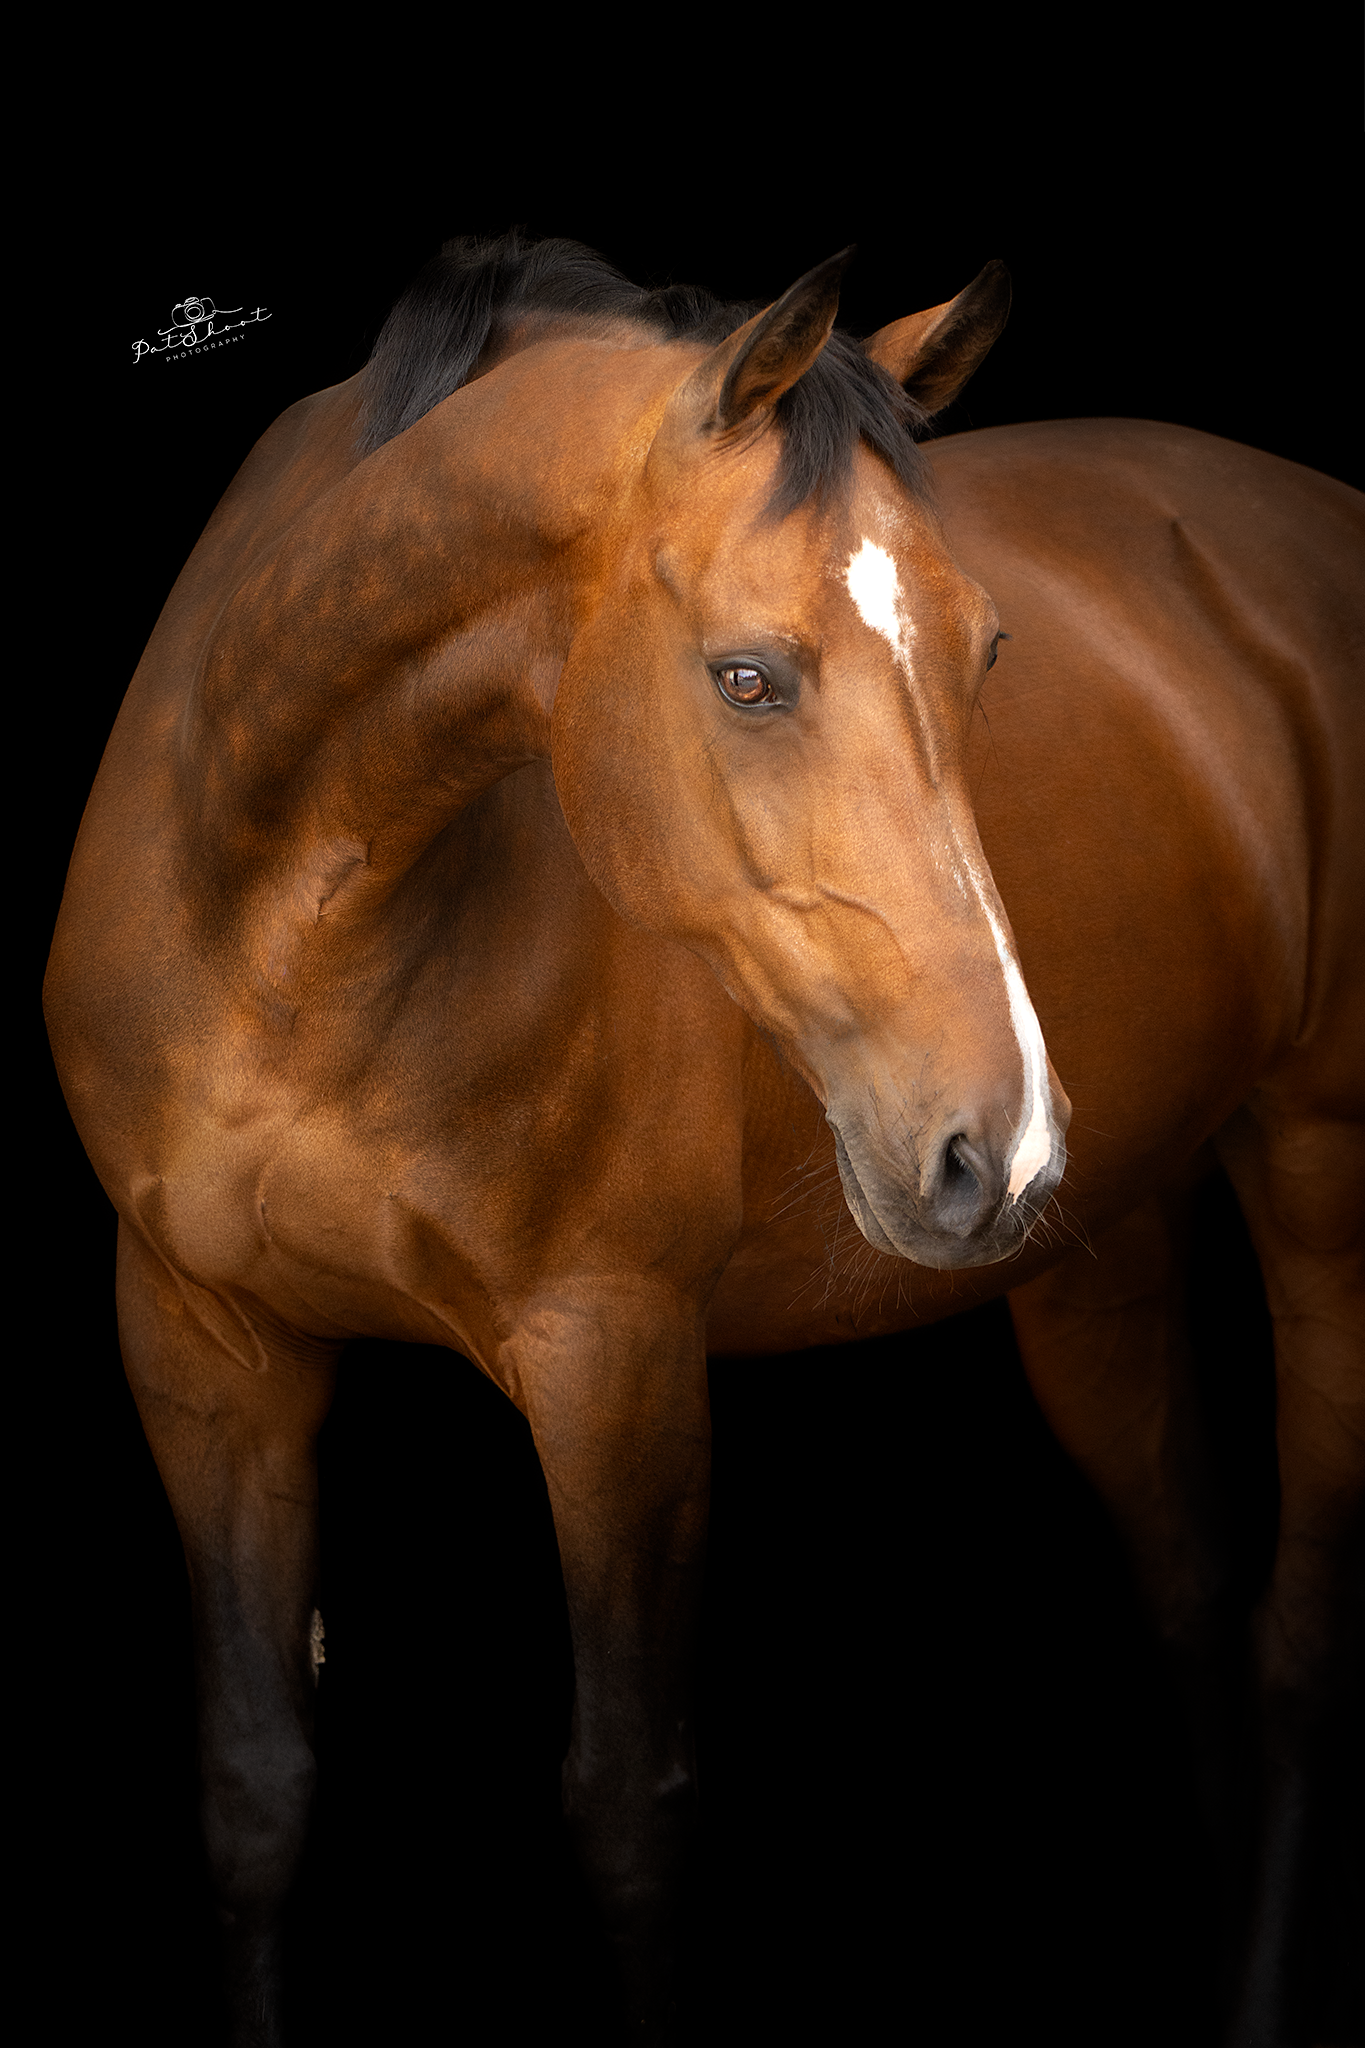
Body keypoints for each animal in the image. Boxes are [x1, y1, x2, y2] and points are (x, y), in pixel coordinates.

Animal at [46, 232, 1363, 2045]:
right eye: (748, 675)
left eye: (985, 652)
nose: (997, 1140)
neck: (282, 928)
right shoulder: (200, 1349)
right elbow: (254, 1789)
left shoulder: (618, 1362)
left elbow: (628, 1809)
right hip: (1100, 1264)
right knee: (1197, 1607)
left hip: (1320, 1171)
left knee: (1299, 1642)